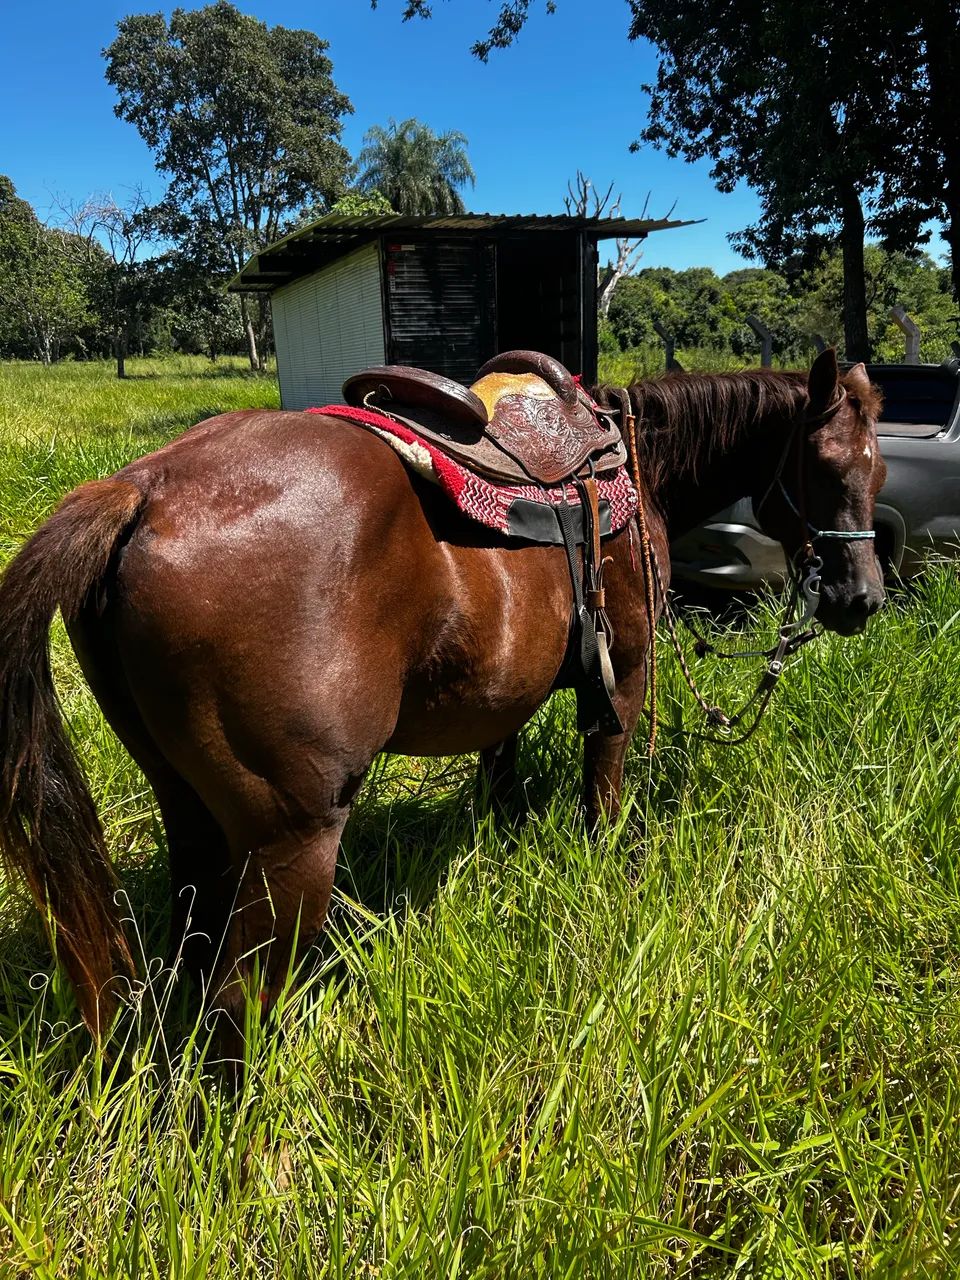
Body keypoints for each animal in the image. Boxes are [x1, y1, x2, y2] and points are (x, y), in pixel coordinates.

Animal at [0, 349, 886, 1049]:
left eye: (879, 472)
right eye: (829, 470)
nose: (862, 599)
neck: (635, 466)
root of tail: (143, 489)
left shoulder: (504, 688)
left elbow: (501, 770)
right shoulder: (627, 669)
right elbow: (605, 783)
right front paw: (608, 866)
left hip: (186, 805)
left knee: (194, 943)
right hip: (294, 837)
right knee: (237, 1002)